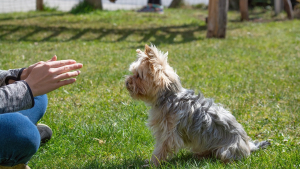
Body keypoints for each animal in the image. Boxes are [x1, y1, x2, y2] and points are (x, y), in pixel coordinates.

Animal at [124, 44, 270, 165]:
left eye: (138, 76)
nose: (126, 82)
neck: (169, 97)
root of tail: (248, 145)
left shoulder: (169, 134)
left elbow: (161, 149)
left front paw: (153, 163)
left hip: (226, 150)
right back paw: (200, 155)